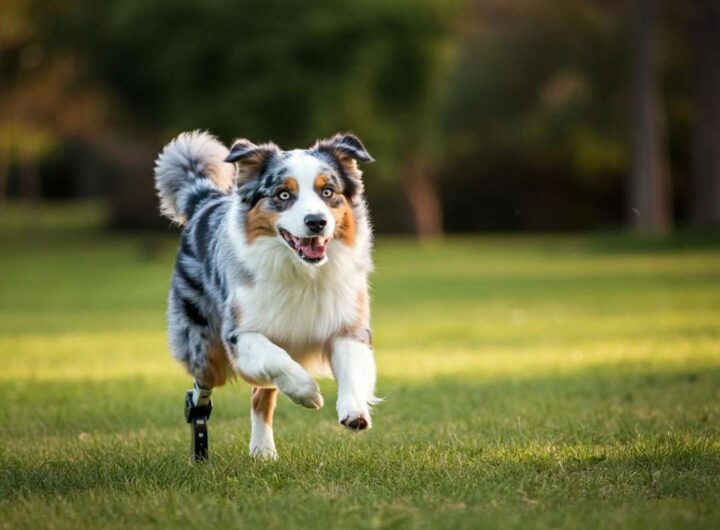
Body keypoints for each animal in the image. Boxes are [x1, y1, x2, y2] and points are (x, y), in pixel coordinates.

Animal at [155, 130, 380, 456]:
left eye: (327, 192)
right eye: (283, 195)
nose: (317, 221)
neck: (303, 273)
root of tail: (206, 201)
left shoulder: (347, 326)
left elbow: (351, 368)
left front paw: (354, 410)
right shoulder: (240, 334)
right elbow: (277, 359)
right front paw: (308, 392)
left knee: (260, 397)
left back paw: (263, 452)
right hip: (206, 352)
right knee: (205, 387)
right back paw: (199, 418)